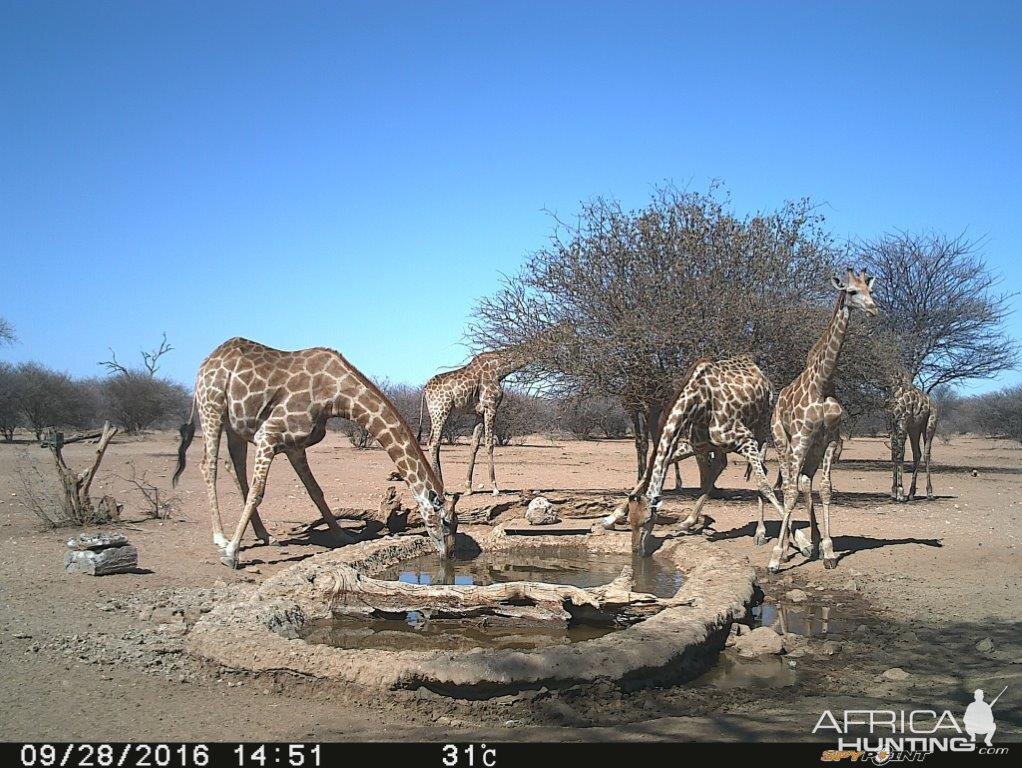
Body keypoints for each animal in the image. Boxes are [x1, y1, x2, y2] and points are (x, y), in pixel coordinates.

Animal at [173, 337, 457, 572]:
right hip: (212, 407)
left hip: (236, 426)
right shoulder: (268, 434)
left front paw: (344, 537)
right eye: (445, 522)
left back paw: (265, 535)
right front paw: (232, 554)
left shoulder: (295, 446)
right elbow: (258, 492)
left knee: (235, 468)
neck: (336, 396)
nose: (448, 555)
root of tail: (207, 361)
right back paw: (221, 538)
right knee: (209, 466)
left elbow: (316, 491)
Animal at [414, 345, 527, 494]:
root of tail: (425, 389)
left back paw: (442, 486)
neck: (499, 370)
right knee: (433, 443)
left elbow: (474, 445)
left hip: (436, 413)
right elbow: (489, 444)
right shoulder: (491, 407)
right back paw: (440, 488)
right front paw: (495, 487)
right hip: (441, 411)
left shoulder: (479, 412)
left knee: (434, 442)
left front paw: (468, 487)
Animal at [596, 357, 784, 556]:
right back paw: (688, 521)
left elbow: (763, 485)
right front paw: (610, 518)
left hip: (761, 425)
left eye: (647, 520)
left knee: (761, 470)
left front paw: (792, 541)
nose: (637, 551)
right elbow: (651, 471)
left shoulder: (744, 439)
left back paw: (760, 532)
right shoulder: (696, 444)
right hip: (718, 445)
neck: (698, 401)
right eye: (630, 520)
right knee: (720, 465)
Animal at [772, 267, 878, 572]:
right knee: (789, 484)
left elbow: (826, 489)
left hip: (813, 449)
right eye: (851, 291)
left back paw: (814, 544)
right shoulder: (799, 438)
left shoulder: (830, 439)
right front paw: (775, 556)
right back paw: (787, 549)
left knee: (805, 481)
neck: (822, 383)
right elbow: (790, 492)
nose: (873, 309)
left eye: (870, 290)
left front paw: (829, 551)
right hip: (783, 442)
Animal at [891, 372, 936, 505]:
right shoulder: (892, 424)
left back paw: (930, 493)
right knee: (917, 453)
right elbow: (894, 453)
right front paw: (894, 492)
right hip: (914, 429)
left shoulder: (902, 421)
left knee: (926, 454)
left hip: (930, 425)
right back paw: (911, 494)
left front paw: (900, 493)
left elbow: (900, 454)